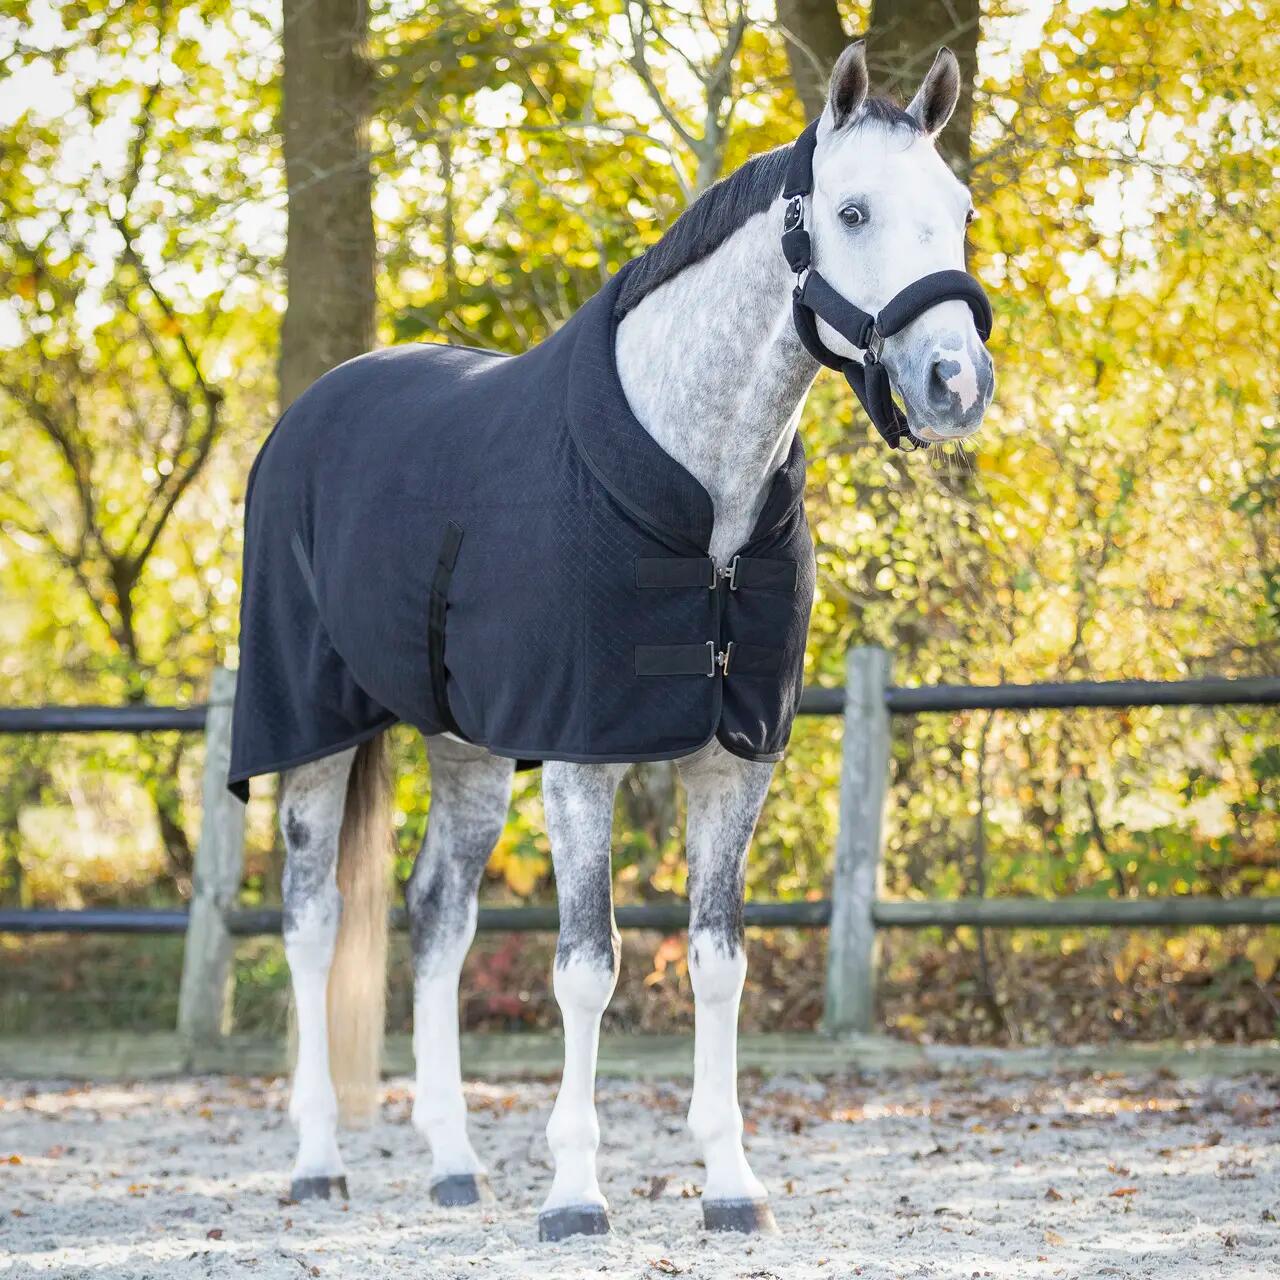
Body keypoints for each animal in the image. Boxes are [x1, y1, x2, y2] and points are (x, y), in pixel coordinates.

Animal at [233, 40, 995, 1240]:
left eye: (958, 210)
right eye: (853, 210)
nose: (954, 383)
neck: (699, 501)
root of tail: (309, 413)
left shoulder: (734, 763)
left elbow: (719, 962)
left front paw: (730, 1182)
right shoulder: (580, 759)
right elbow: (587, 966)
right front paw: (574, 1192)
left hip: (467, 751)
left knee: (436, 919)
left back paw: (454, 1162)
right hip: (313, 733)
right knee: (313, 921)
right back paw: (316, 1162)